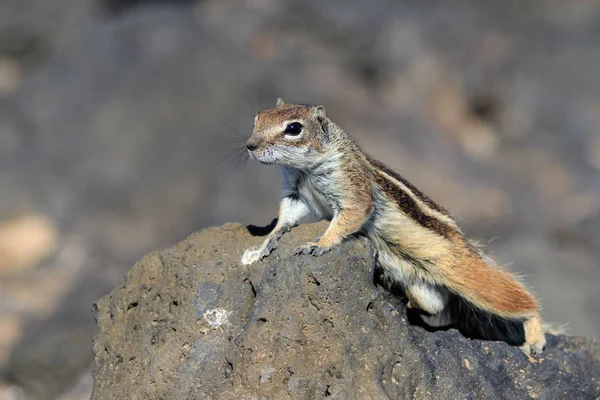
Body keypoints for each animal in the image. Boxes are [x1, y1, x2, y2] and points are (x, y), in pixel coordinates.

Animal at [240, 98, 544, 354]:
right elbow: (285, 218)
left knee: (519, 300)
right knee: (435, 304)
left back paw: (535, 338)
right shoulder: (295, 193)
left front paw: (319, 243)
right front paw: (262, 246)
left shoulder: (354, 191)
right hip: (422, 287)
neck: (305, 168)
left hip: (463, 272)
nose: (250, 145)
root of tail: (464, 242)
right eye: (258, 117)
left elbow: (348, 218)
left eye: (294, 128)